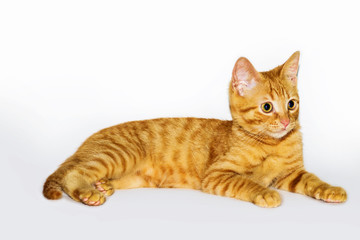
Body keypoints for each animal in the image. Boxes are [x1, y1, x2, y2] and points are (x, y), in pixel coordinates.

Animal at [42, 51, 346, 207]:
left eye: (292, 104)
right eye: (267, 107)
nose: (285, 122)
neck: (273, 144)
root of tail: (86, 142)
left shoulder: (291, 174)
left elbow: (313, 180)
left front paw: (331, 189)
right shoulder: (217, 174)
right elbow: (247, 182)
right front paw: (265, 193)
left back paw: (102, 185)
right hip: (118, 154)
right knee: (72, 174)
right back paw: (87, 192)